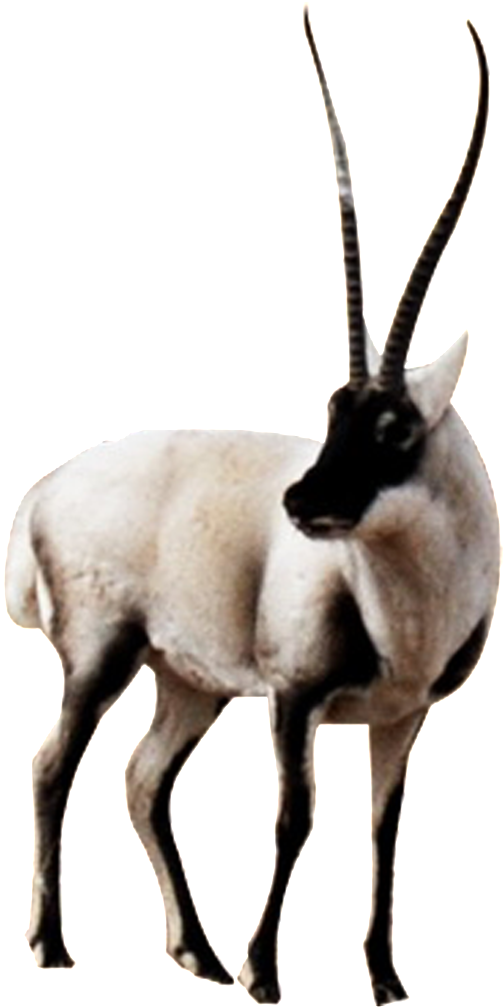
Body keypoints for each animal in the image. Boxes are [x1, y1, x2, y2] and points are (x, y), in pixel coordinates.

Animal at [2, 4, 501, 1005]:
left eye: (392, 424)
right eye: (332, 407)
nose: (303, 503)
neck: (410, 599)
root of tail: (45, 486)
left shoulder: (403, 716)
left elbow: (384, 830)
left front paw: (385, 980)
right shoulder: (292, 698)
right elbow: (294, 818)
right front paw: (263, 972)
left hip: (188, 679)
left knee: (141, 777)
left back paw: (193, 951)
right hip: (102, 653)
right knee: (53, 762)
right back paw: (55, 943)